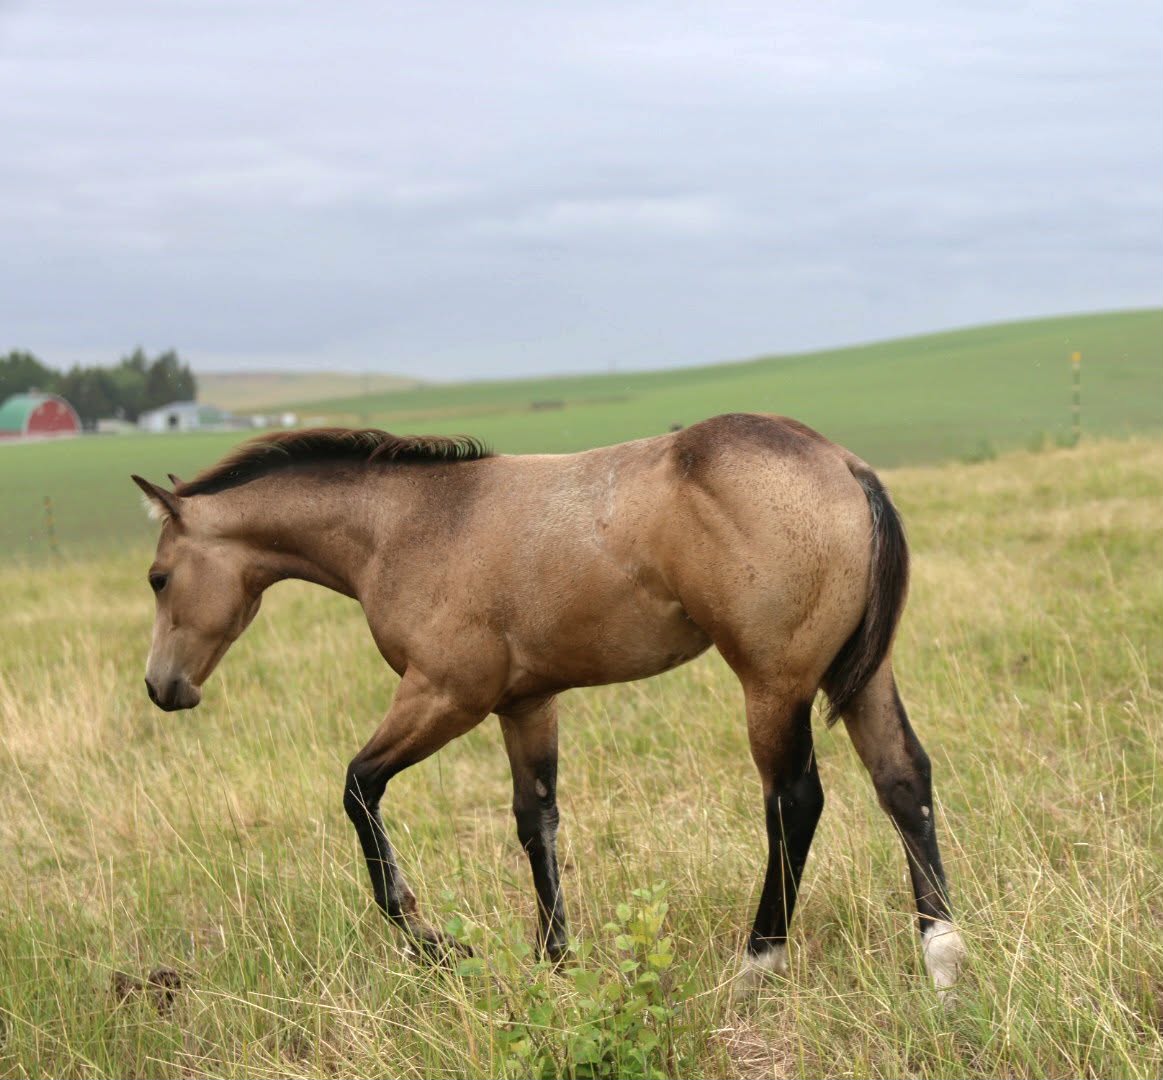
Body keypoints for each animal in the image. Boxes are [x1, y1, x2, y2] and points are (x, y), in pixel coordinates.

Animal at [132, 412, 965, 991]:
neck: (412, 524)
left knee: (794, 802)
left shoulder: (446, 695)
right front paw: (554, 957)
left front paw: (435, 942)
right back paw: (942, 955)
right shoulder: (525, 703)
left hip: (773, 686)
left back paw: (758, 962)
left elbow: (359, 790)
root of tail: (842, 464)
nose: (162, 686)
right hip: (859, 678)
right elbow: (537, 822)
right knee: (902, 779)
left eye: (158, 577)